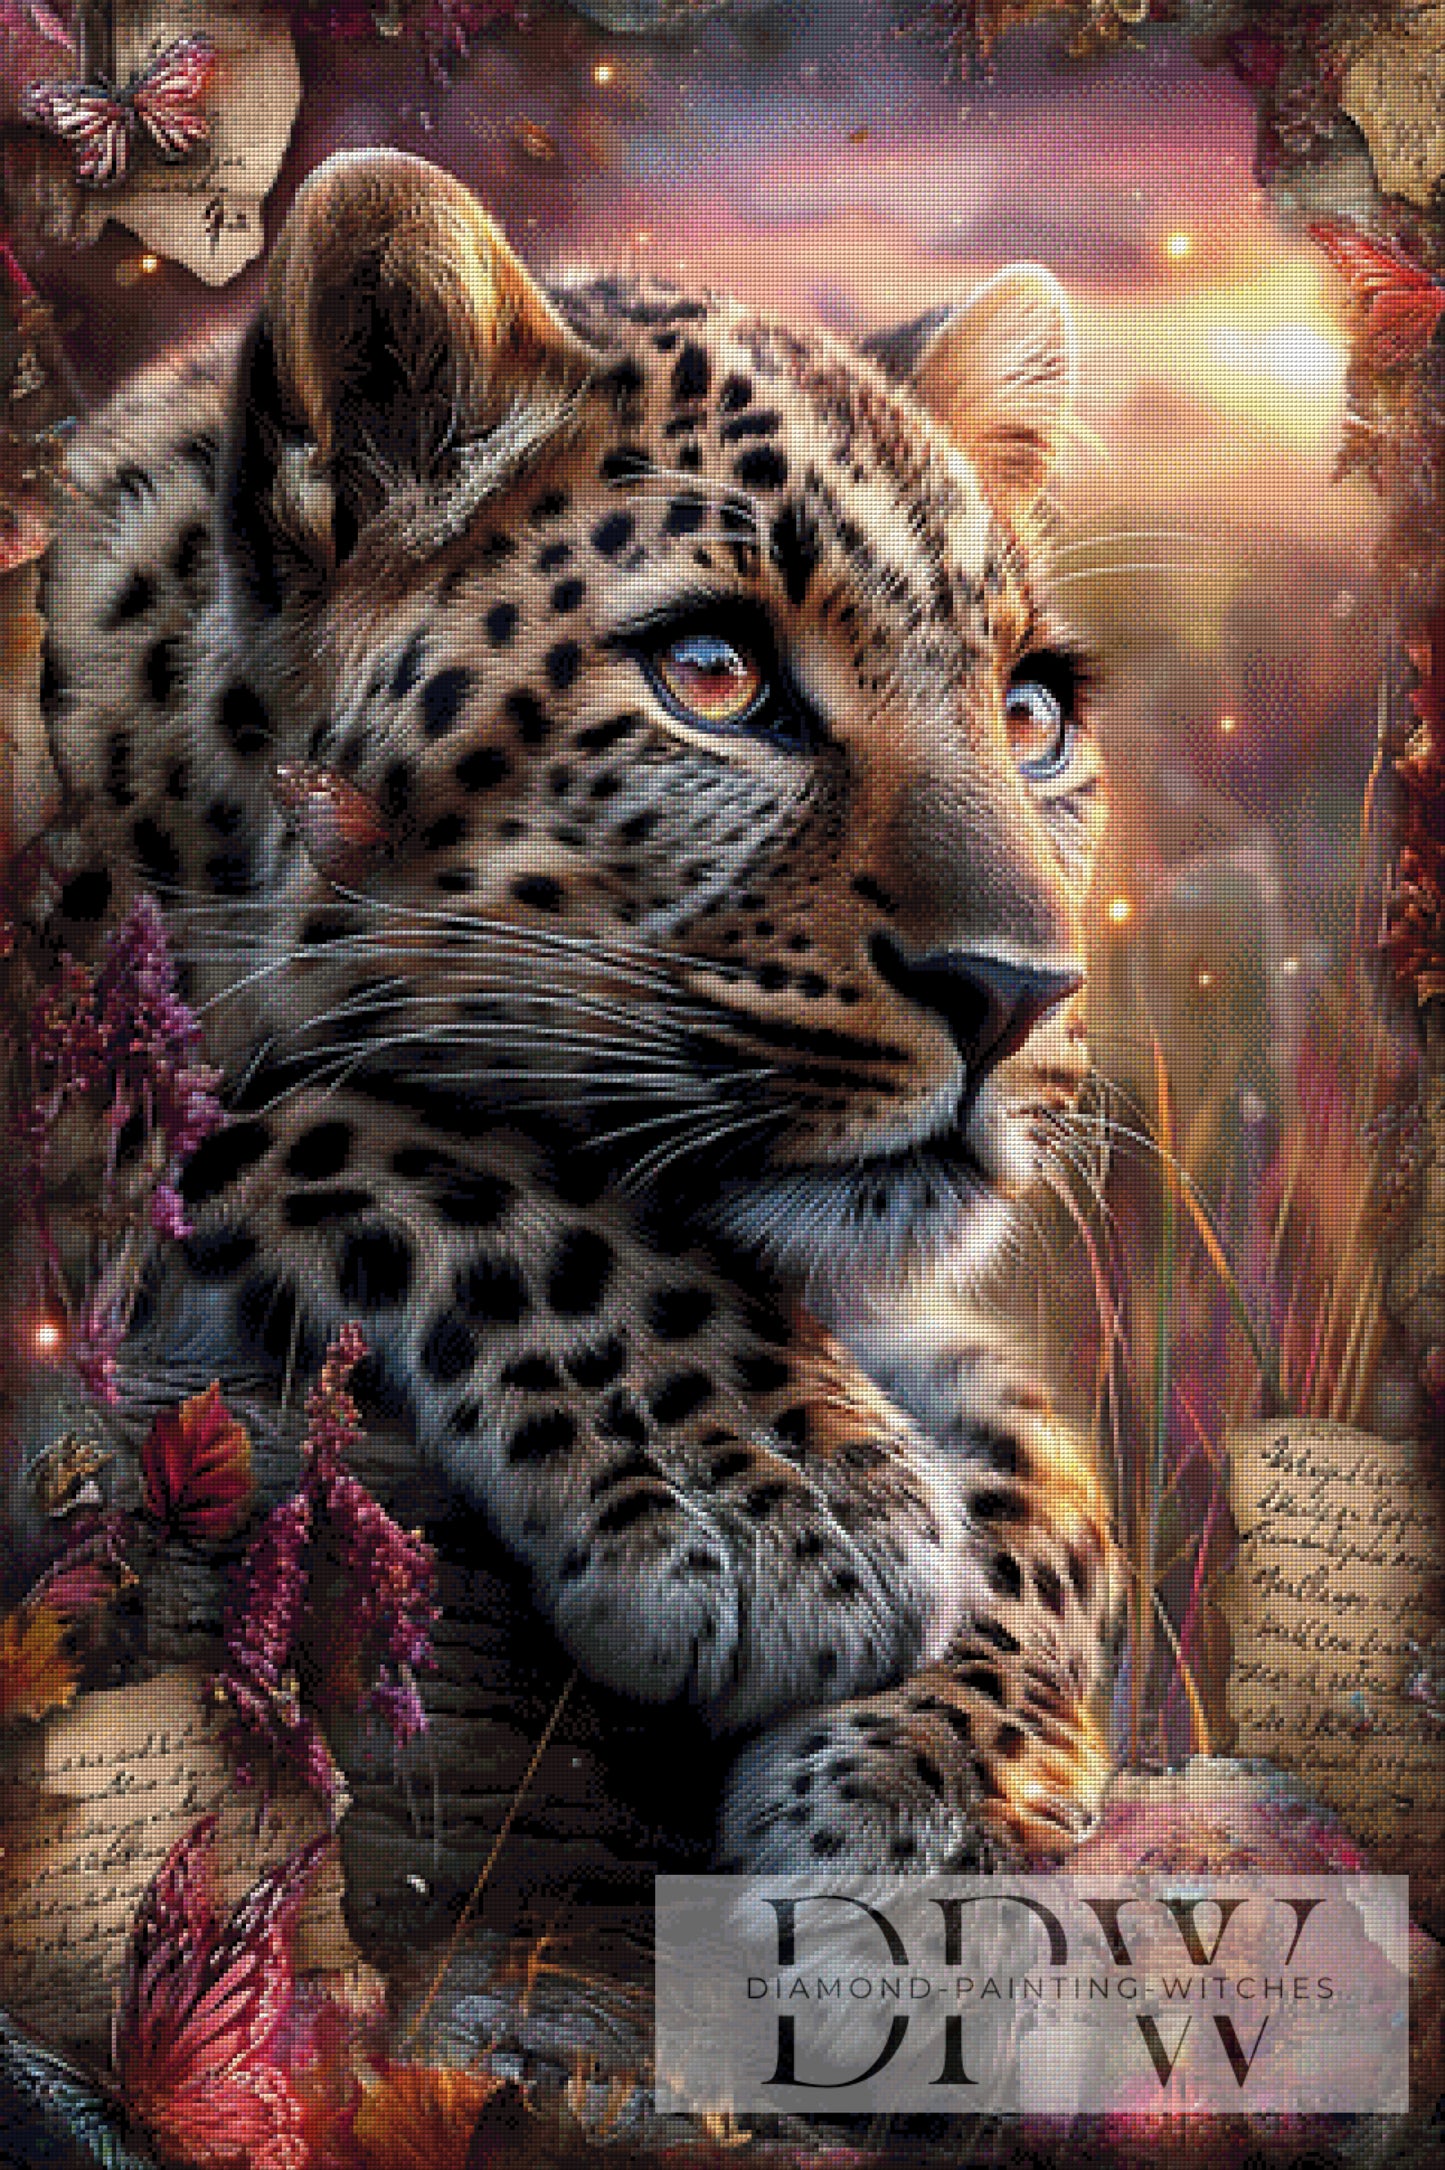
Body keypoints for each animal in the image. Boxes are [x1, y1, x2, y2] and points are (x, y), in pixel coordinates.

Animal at [38, 148, 1121, 1876]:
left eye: (1030, 715)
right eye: (714, 672)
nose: (1017, 994)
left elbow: (1046, 1450)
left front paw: (935, 1776)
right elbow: (385, 1131)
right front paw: (772, 1497)